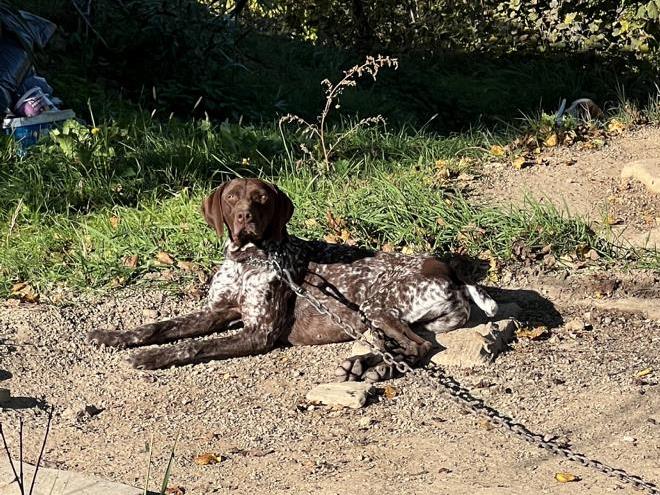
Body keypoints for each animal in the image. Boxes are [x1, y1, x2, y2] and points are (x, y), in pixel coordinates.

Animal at [87, 178, 496, 384]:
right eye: (231, 198)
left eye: (261, 199)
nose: (244, 217)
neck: (247, 259)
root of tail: (452, 274)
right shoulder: (218, 311)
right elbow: (159, 326)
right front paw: (114, 337)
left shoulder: (259, 332)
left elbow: (195, 347)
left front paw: (152, 357)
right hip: (380, 317)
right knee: (402, 346)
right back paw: (367, 365)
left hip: (375, 305)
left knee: (417, 347)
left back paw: (372, 367)